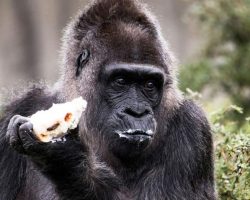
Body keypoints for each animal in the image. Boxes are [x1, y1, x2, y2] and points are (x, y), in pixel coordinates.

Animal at [0, 0, 216, 200]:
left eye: (149, 85)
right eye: (120, 81)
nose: (137, 112)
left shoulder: (193, 126)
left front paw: (67, 158)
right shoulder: (20, 107)